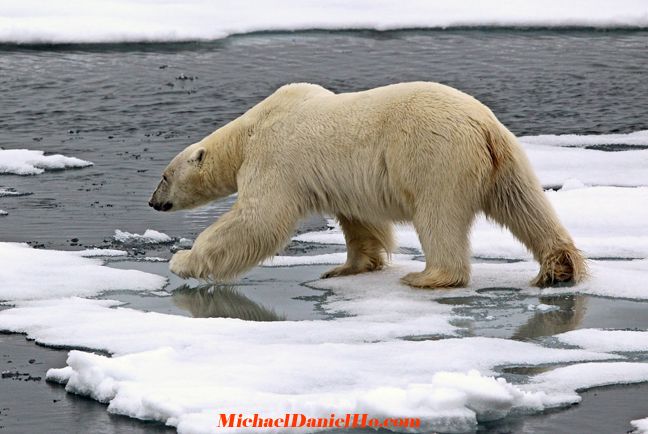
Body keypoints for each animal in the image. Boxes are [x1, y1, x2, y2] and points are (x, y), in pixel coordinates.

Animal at [151, 83, 588, 290]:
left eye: (164, 176)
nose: (154, 202)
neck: (249, 132)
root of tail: (481, 126)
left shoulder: (274, 158)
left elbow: (257, 220)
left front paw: (183, 261)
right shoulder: (342, 183)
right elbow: (361, 223)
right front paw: (345, 268)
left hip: (434, 157)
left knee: (438, 217)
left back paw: (427, 276)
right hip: (506, 160)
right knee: (525, 205)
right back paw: (559, 267)